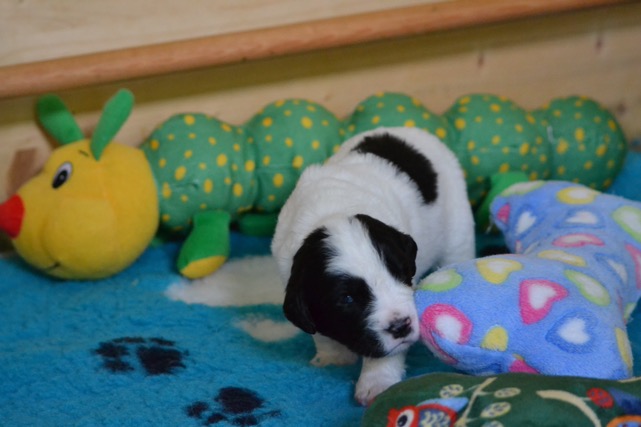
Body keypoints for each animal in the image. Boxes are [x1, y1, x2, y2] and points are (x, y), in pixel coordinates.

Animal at [271, 127, 475, 405]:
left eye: (400, 273)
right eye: (347, 299)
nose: (401, 327)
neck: (330, 213)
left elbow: (387, 354)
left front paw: (377, 383)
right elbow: (320, 332)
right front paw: (333, 358)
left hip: (457, 226)